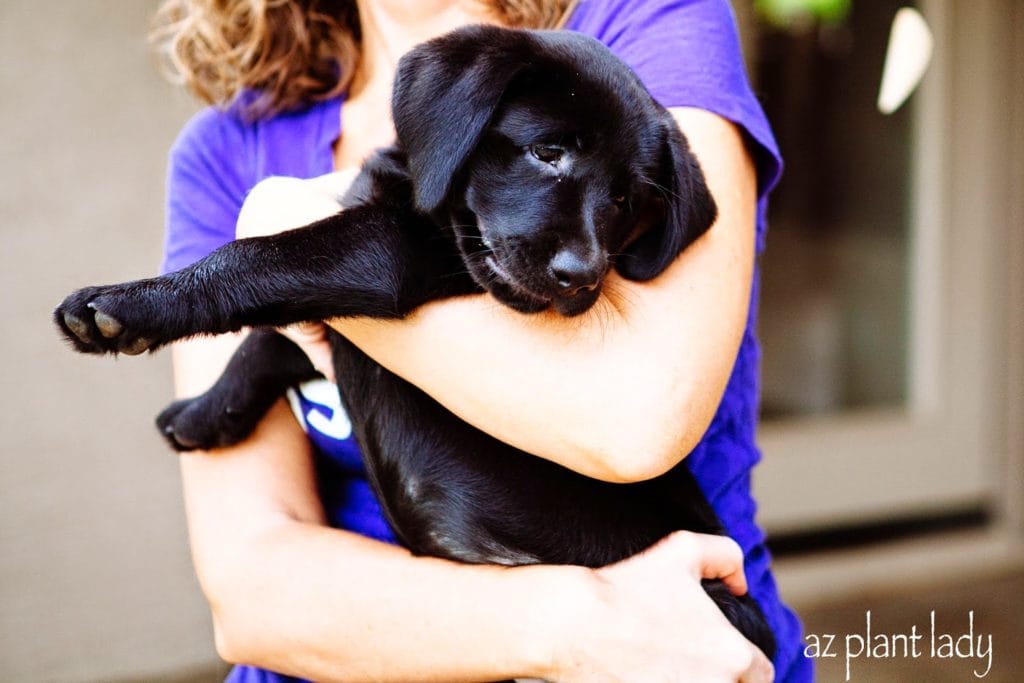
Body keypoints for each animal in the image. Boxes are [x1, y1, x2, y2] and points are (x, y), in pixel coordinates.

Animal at [56, 25, 770, 655]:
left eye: (626, 201)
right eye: (547, 152)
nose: (582, 276)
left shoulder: (387, 254)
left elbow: (258, 258)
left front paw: (132, 305)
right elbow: (274, 337)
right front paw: (209, 412)